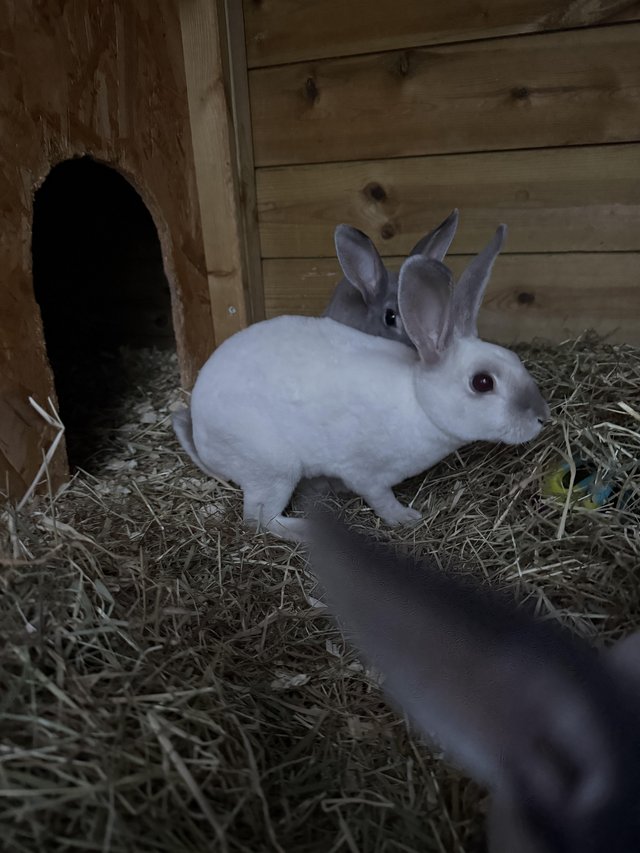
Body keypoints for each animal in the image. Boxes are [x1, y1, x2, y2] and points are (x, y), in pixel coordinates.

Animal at [173, 224, 549, 541]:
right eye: (482, 382)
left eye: (515, 360)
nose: (542, 417)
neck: (418, 400)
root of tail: (202, 439)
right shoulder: (367, 473)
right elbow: (380, 499)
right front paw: (406, 518)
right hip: (273, 469)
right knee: (259, 520)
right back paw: (309, 531)